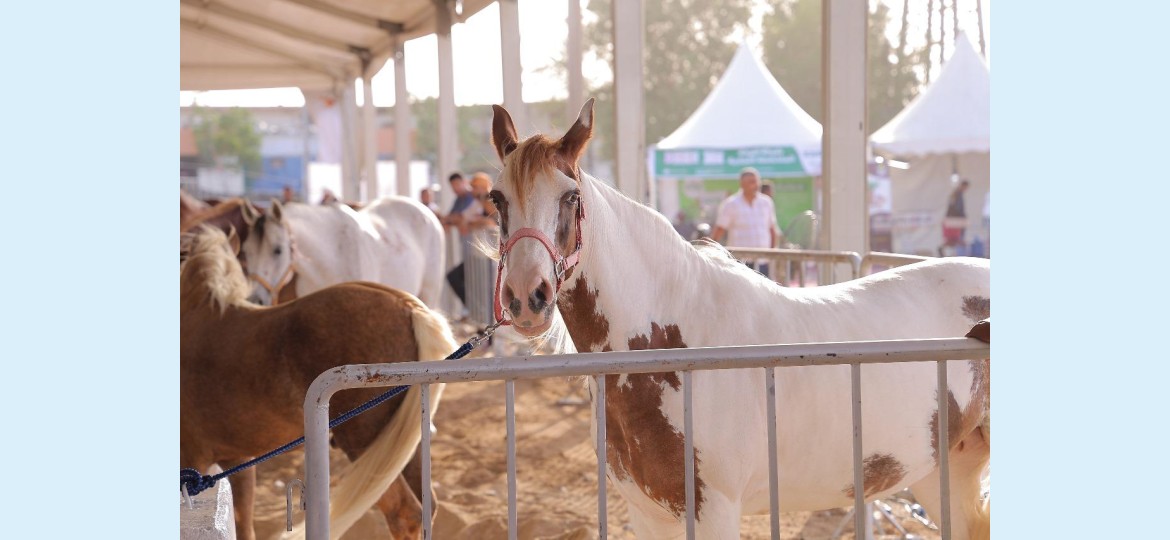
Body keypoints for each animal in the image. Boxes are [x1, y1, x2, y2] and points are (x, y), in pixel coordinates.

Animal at [485, 100, 991, 540]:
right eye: (496, 198)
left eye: (570, 196)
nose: (527, 297)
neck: (672, 348)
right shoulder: (647, 512)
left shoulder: (716, 511)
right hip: (946, 468)